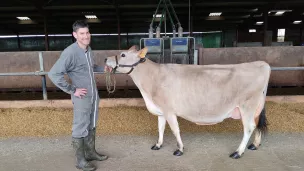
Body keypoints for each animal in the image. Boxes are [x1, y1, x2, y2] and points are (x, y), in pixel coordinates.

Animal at [104, 45, 270, 159]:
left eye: (123, 54)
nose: (106, 59)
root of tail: (262, 64)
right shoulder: (161, 110)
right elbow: (160, 128)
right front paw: (158, 145)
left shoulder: (169, 110)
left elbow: (175, 130)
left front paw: (179, 149)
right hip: (256, 107)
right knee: (257, 124)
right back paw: (254, 145)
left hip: (247, 106)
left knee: (249, 127)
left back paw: (238, 152)